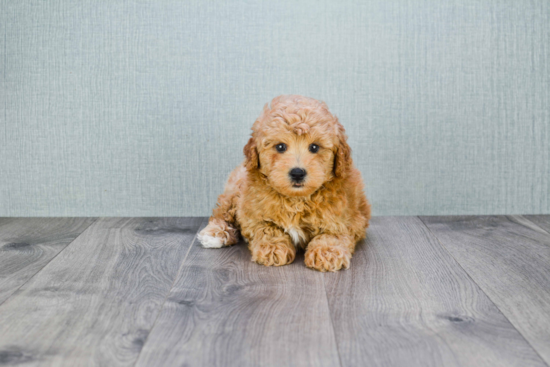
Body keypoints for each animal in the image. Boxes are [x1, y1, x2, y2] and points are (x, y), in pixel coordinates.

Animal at [198, 95, 370, 274]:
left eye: (314, 147)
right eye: (280, 146)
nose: (297, 173)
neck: (296, 199)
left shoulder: (349, 218)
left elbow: (333, 233)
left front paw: (327, 252)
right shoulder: (252, 212)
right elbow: (267, 228)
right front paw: (272, 248)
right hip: (235, 189)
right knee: (222, 212)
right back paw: (215, 234)